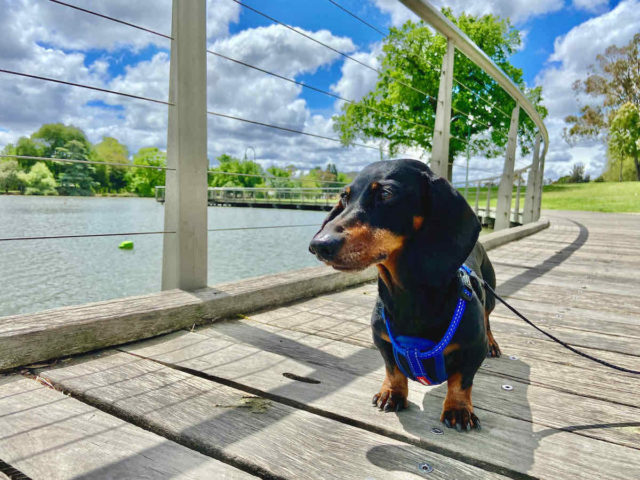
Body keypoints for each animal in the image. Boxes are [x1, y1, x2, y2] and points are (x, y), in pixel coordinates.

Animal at [310, 158, 500, 432]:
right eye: (344, 197)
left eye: (386, 194)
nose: (318, 245)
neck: (407, 296)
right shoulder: (382, 341)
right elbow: (393, 370)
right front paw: (392, 393)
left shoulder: (474, 349)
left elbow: (461, 381)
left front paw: (458, 408)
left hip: (490, 295)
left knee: (488, 318)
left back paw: (494, 344)